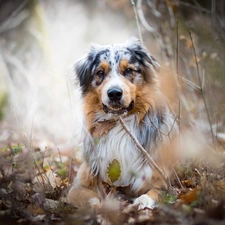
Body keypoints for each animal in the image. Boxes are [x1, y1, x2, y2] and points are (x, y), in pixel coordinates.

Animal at [67, 37, 177, 210]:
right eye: (100, 73)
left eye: (129, 70)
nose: (114, 93)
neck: (119, 125)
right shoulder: (79, 184)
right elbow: (89, 197)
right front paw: (100, 206)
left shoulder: (164, 181)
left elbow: (155, 192)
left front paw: (142, 201)